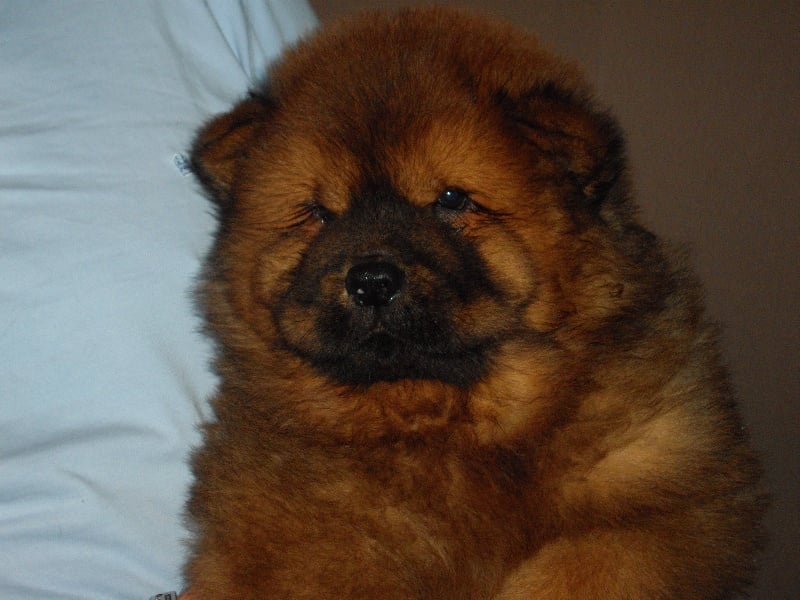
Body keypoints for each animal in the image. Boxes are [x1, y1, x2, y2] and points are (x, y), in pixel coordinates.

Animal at [181, 8, 764, 598]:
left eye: (451, 200)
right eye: (320, 214)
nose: (371, 280)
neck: (447, 430)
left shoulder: (669, 501)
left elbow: (584, 566)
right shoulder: (297, 545)